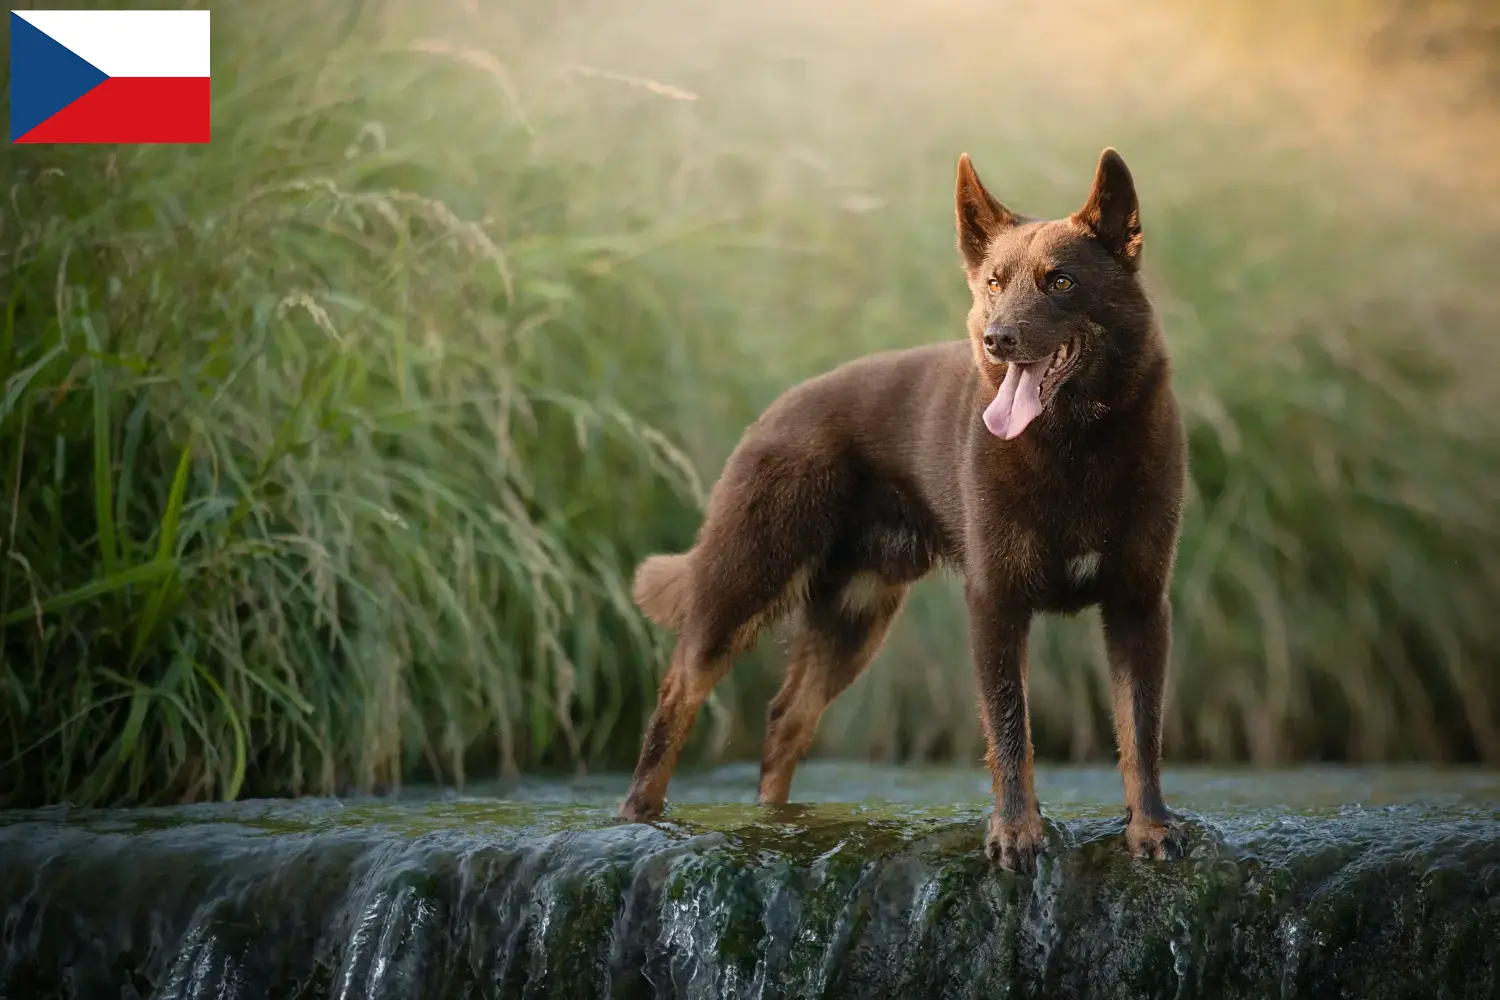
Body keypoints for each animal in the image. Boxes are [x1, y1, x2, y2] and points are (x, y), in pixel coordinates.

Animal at [618, 146, 1182, 869]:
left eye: (1060, 282)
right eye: (994, 281)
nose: (998, 338)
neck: (1075, 447)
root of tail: (775, 411)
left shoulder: (1138, 606)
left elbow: (1141, 732)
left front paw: (1150, 829)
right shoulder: (996, 604)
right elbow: (1011, 730)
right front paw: (1015, 833)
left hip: (853, 621)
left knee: (785, 719)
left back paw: (778, 822)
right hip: (743, 584)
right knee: (678, 693)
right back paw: (639, 818)